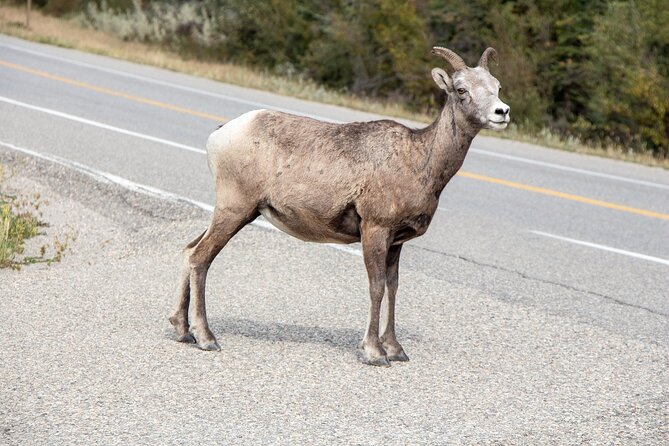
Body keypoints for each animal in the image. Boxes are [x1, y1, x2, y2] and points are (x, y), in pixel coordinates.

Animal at [170, 47, 508, 366]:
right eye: (462, 89)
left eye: (497, 86)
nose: (502, 112)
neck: (419, 161)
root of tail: (220, 134)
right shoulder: (375, 230)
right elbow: (377, 287)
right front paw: (375, 353)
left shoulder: (397, 242)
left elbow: (394, 287)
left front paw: (396, 349)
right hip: (235, 209)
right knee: (200, 258)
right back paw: (206, 337)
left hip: (234, 212)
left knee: (189, 250)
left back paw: (182, 330)